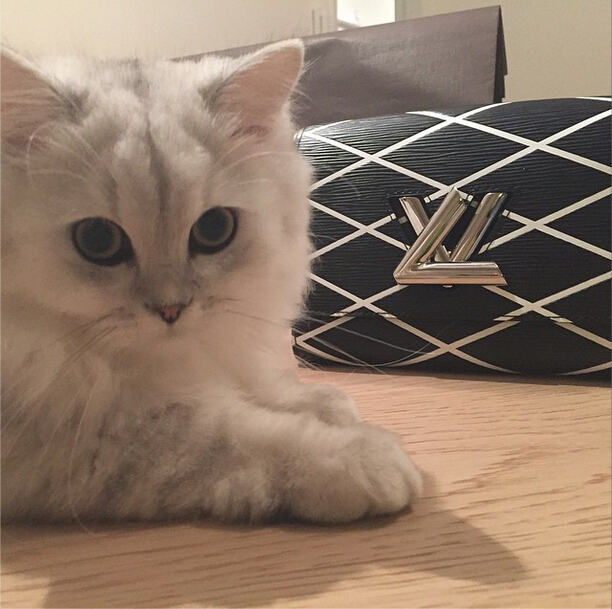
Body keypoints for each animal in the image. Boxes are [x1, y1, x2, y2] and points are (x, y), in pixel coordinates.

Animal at [1, 41, 422, 523]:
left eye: (215, 229)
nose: (171, 310)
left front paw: (322, 403)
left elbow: (260, 387)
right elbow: (223, 436)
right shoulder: (79, 437)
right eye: (97, 240)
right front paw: (360, 455)